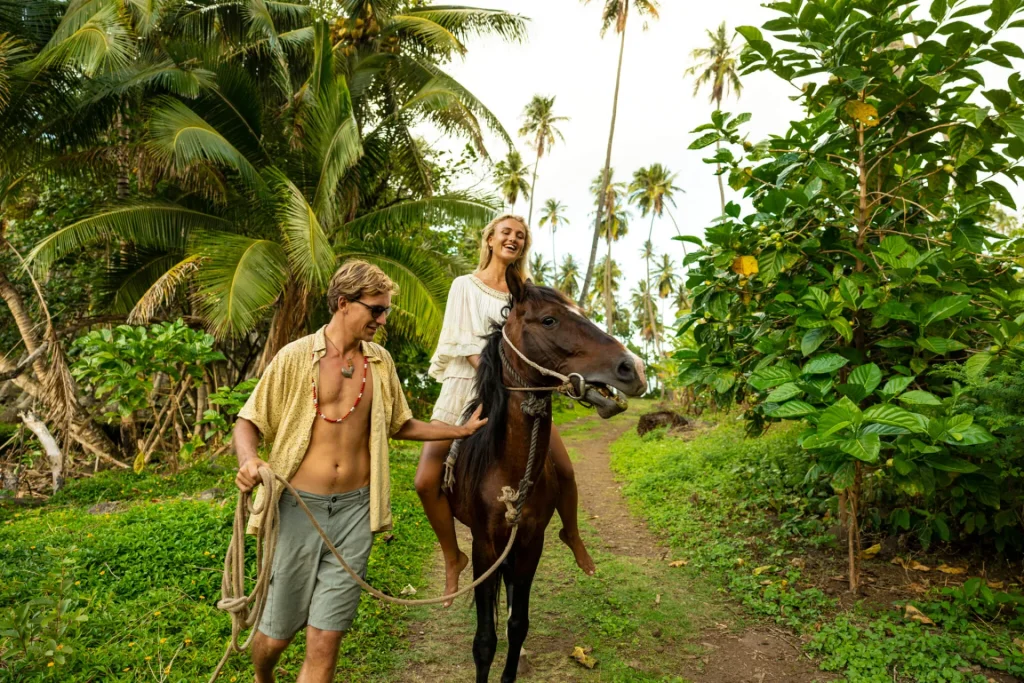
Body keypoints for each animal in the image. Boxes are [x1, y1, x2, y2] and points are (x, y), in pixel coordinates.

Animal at [446, 264, 643, 679]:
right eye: (550, 320)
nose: (633, 368)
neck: (505, 468)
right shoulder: (484, 545)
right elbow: (484, 640)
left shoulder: (531, 541)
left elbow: (518, 623)